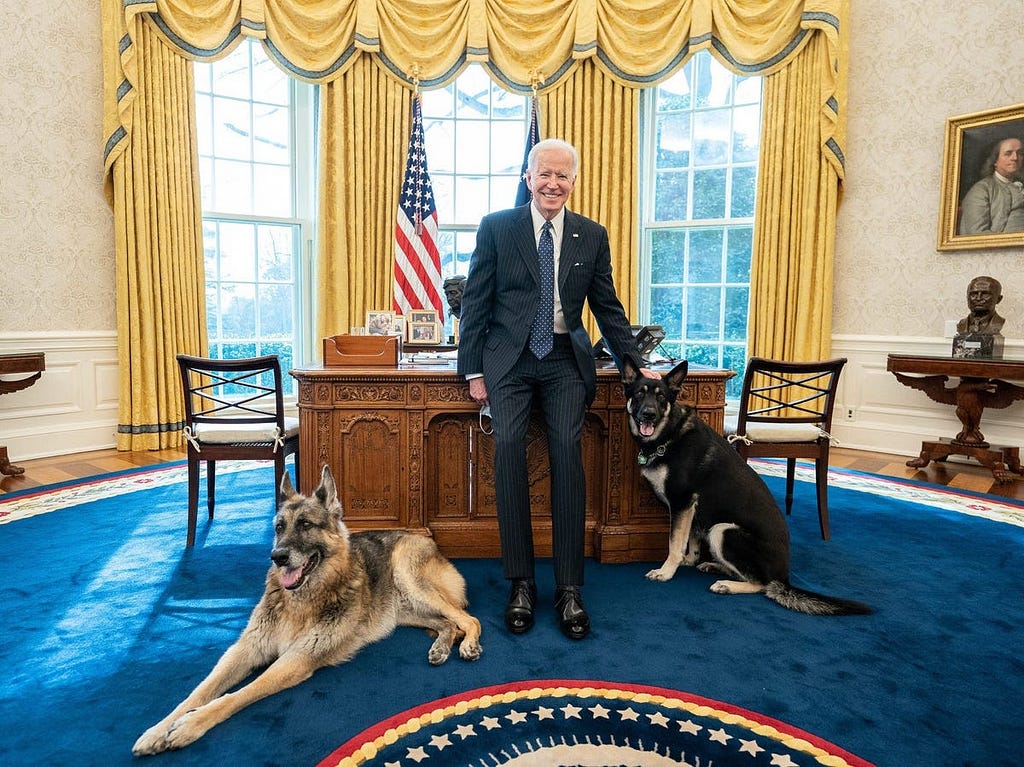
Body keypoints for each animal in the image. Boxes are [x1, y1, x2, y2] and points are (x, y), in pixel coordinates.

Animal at [134, 462, 481, 749]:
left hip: (410, 579)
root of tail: (425, 538)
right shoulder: (245, 650)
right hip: (403, 612)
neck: (300, 600)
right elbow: (199, 691)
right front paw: (158, 729)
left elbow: (237, 694)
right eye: (279, 527)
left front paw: (191, 723)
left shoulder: (295, 659)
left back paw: (468, 645)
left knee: (468, 620)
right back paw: (440, 647)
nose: (277, 557)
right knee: (447, 623)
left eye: (305, 525)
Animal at [618, 358, 868, 614]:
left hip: (723, 531)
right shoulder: (693, 511)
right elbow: (692, 539)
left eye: (661, 397)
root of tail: (784, 578)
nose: (648, 415)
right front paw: (690, 560)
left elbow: (675, 543)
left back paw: (727, 584)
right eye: (639, 394)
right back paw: (716, 566)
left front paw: (666, 571)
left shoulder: (682, 503)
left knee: (762, 584)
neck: (669, 434)